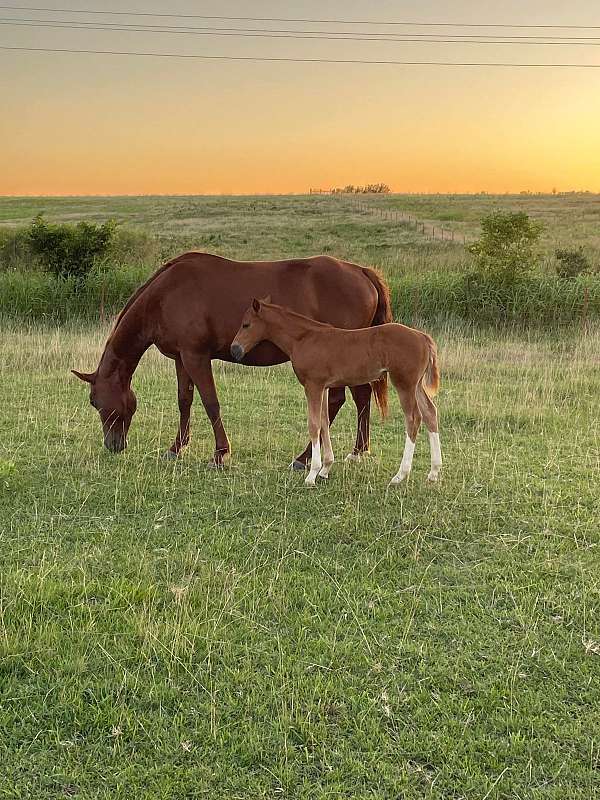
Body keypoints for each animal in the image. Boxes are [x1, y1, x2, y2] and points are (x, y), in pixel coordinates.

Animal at [71, 252, 392, 466]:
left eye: (95, 402)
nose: (113, 445)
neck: (164, 295)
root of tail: (361, 272)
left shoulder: (196, 357)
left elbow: (210, 402)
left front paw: (220, 454)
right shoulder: (181, 358)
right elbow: (184, 401)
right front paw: (176, 448)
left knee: (339, 400)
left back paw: (304, 458)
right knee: (361, 397)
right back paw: (358, 450)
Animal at [231, 298, 441, 487]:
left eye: (246, 324)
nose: (235, 350)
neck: (304, 338)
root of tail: (424, 338)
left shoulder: (313, 385)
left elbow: (314, 424)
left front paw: (312, 475)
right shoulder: (323, 387)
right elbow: (324, 422)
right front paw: (325, 469)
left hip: (404, 383)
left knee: (413, 419)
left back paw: (400, 475)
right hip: (417, 385)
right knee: (430, 413)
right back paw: (433, 473)